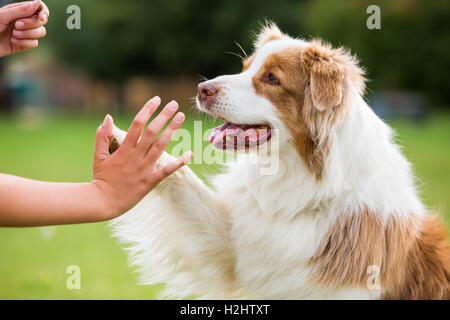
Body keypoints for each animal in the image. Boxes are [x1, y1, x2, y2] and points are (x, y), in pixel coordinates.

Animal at [110, 23, 450, 300]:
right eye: (245, 68)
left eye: (272, 78)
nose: (202, 89)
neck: (300, 181)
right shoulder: (234, 242)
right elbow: (182, 178)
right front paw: (126, 142)